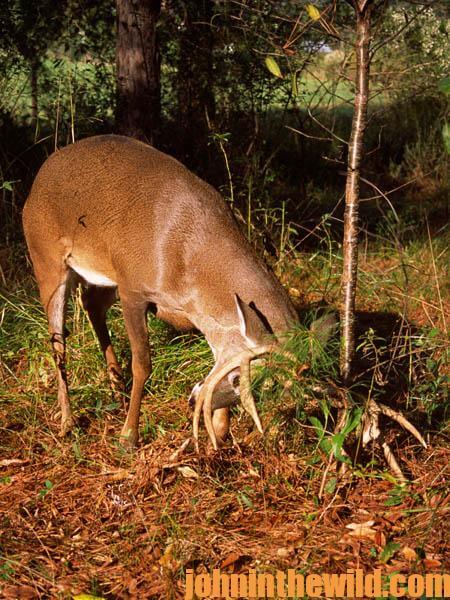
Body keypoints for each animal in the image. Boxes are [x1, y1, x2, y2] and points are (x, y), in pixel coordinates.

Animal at [23, 135, 426, 474]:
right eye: (239, 378)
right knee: (57, 338)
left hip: (99, 275)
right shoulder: (134, 287)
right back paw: (67, 421)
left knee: (91, 304)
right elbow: (144, 364)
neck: (187, 260)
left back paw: (114, 387)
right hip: (47, 260)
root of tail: (40, 173)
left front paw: (218, 431)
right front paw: (128, 438)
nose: (192, 402)